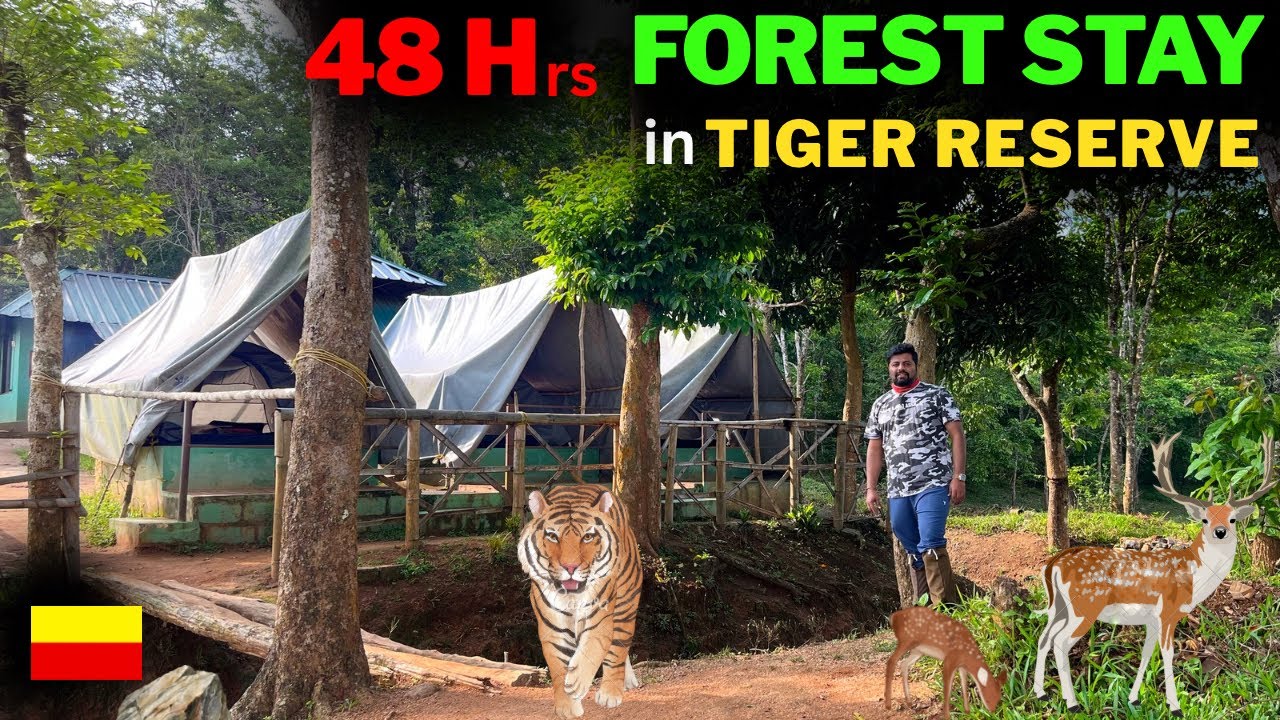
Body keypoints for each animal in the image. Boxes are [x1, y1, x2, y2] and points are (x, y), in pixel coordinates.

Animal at [517, 484, 642, 719]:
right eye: (552, 536)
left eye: (588, 536)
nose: (570, 567)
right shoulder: (552, 627)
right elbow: (558, 664)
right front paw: (567, 706)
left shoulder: (600, 618)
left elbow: (593, 647)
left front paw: (576, 682)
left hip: (626, 601)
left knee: (619, 645)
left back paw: (614, 690)